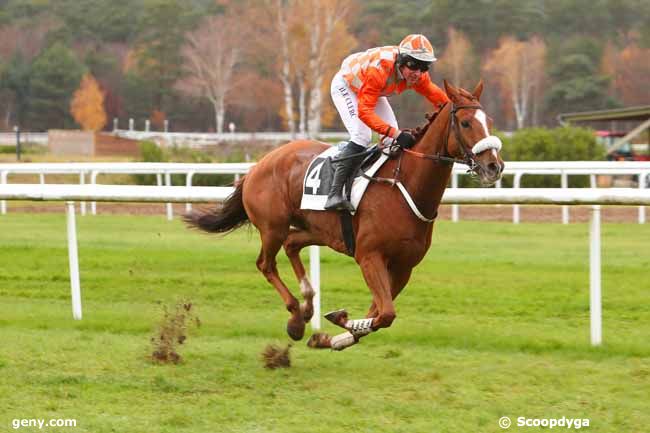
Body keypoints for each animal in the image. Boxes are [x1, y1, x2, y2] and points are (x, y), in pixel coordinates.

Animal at [185, 81, 504, 350]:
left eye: (489, 122)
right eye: (465, 122)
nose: (494, 166)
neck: (404, 185)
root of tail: (258, 165)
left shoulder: (404, 266)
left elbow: (379, 314)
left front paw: (333, 337)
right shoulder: (369, 256)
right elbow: (386, 313)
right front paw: (337, 323)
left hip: (319, 231)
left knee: (292, 244)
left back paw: (307, 306)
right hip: (272, 226)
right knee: (266, 263)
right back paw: (295, 317)